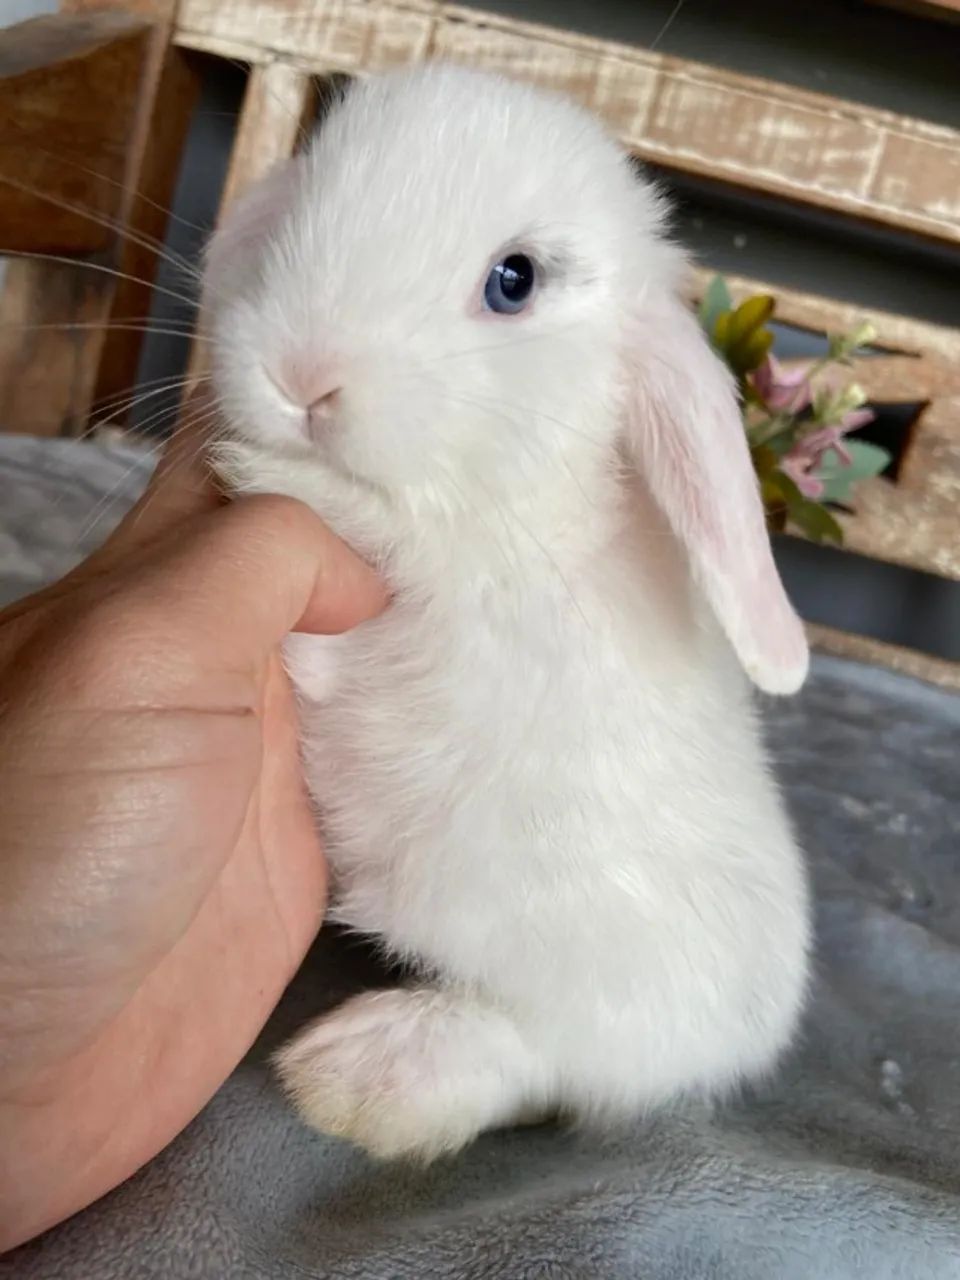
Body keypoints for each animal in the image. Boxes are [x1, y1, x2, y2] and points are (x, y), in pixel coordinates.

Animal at [201, 63, 812, 1161]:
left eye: (514, 280)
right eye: (305, 189)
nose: (302, 374)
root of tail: (752, 1019)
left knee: (542, 1058)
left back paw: (362, 1078)